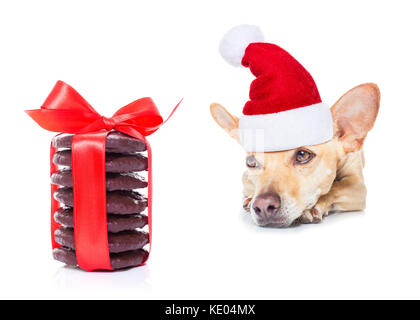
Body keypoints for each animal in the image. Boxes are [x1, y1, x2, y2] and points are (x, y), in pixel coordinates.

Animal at [210, 84, 380, 226]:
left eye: (303, 155)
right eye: (251, 162)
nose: (262, 205)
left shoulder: (358, 186)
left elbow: (336, 187)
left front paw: (314, 206)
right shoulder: (245, 178)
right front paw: (251, 199)